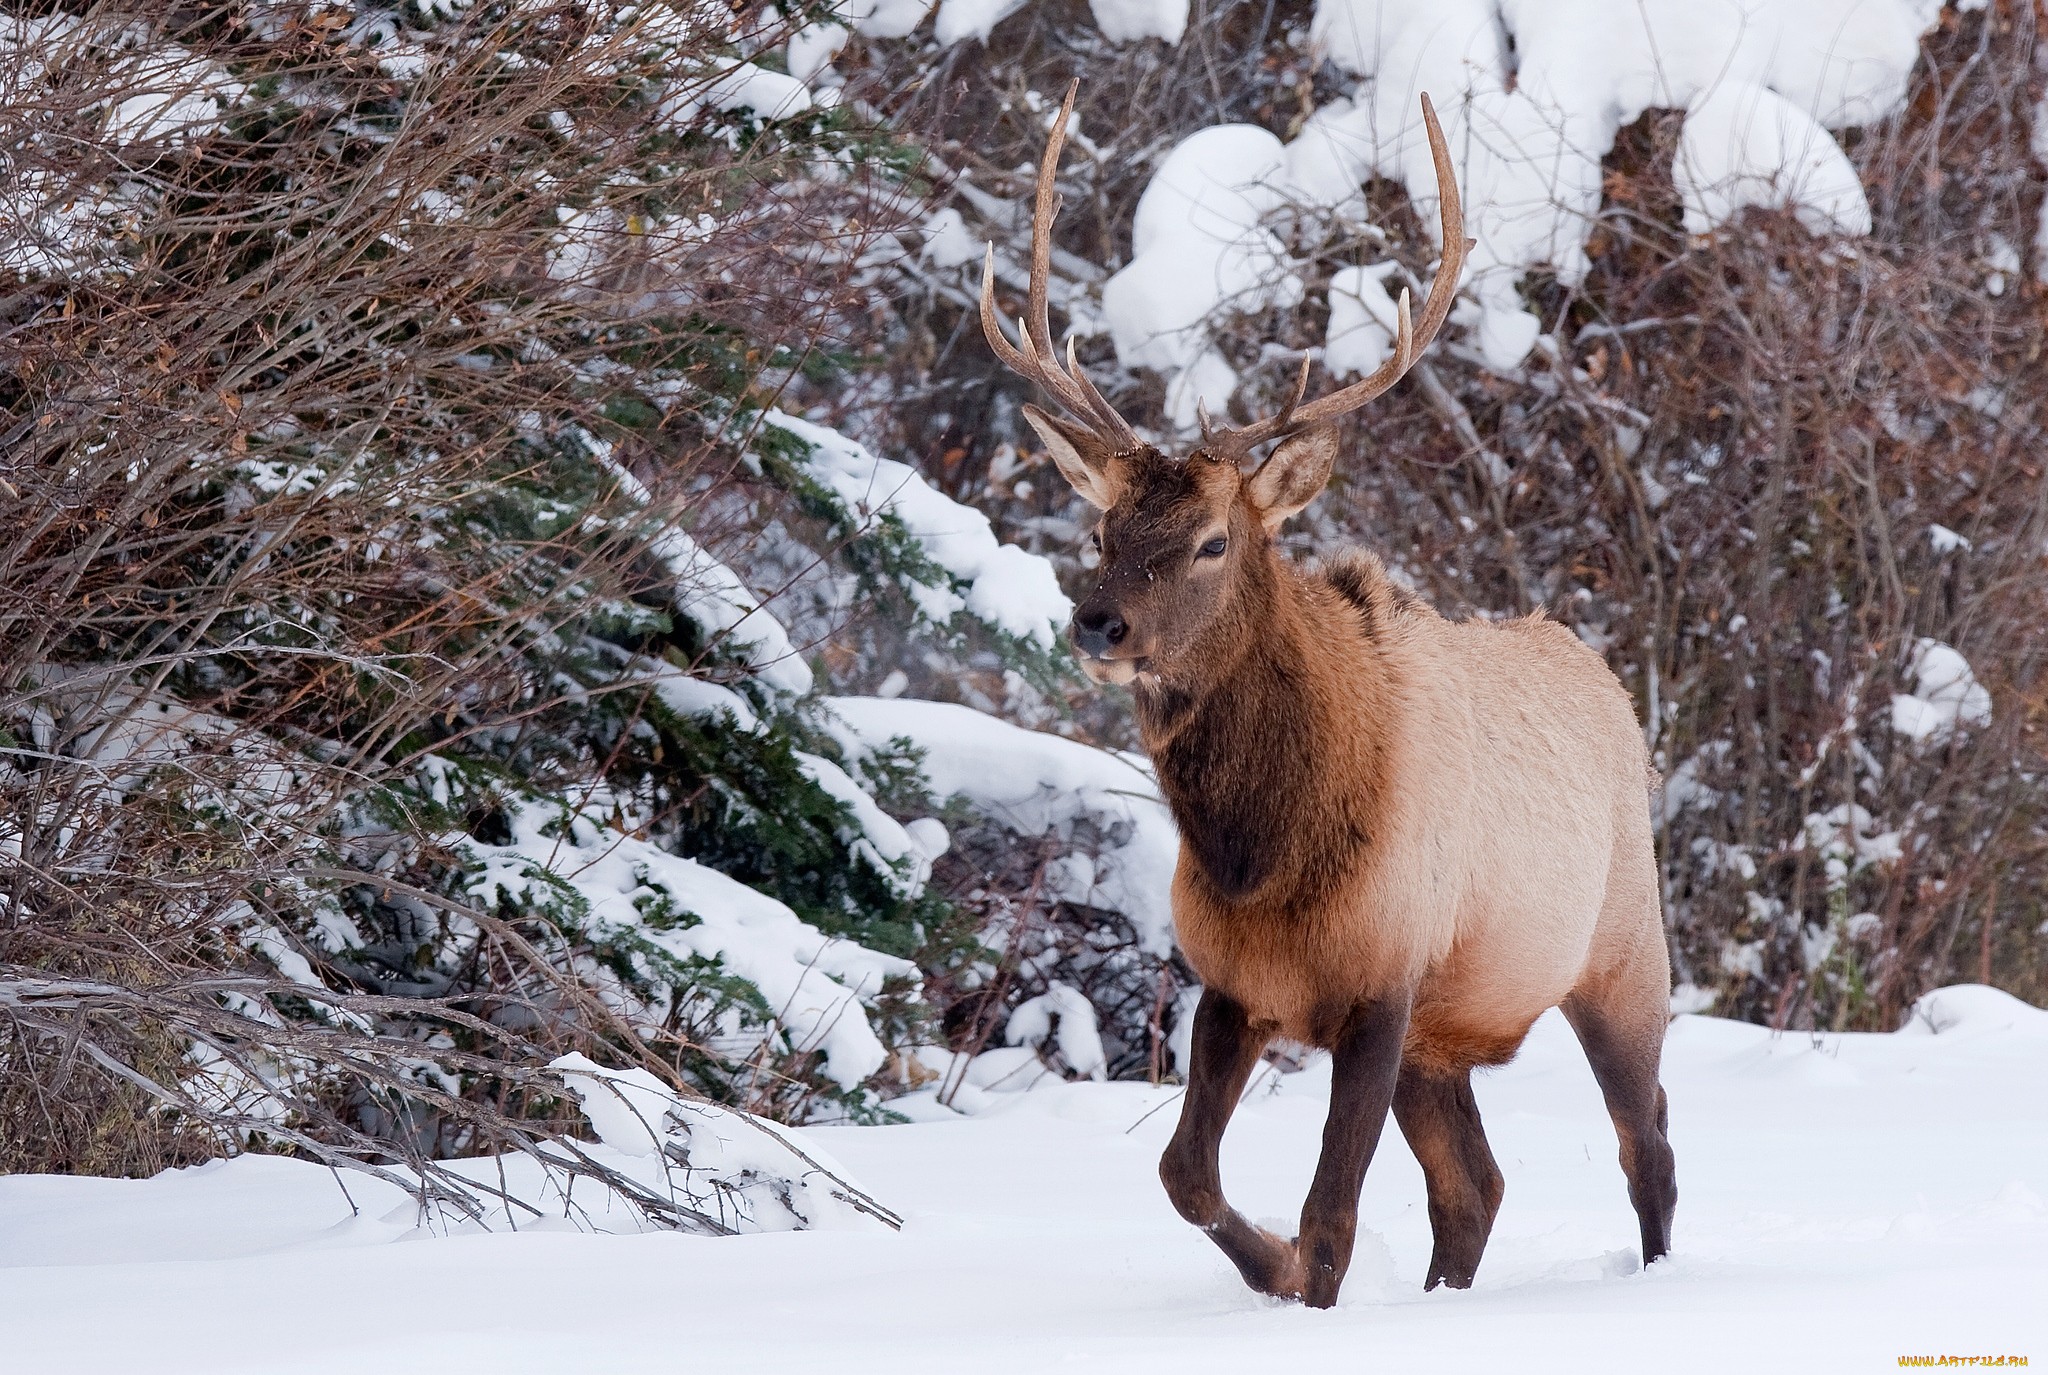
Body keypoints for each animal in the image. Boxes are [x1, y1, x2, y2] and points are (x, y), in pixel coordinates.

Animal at [978, 88, 1679, 1311]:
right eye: (1102, 527)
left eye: (1213, 539)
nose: (1098, 623)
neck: (1260, 855)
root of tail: (1605, 682)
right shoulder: (1232, 985)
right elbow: (1185, 1174)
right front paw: (1266, 1268)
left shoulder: (1382, 980)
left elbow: (1330, 1214)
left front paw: (1296, 1277)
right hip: (1446, 1040)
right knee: (1476, 1185)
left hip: (1624, 956)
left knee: (1649, 1145)